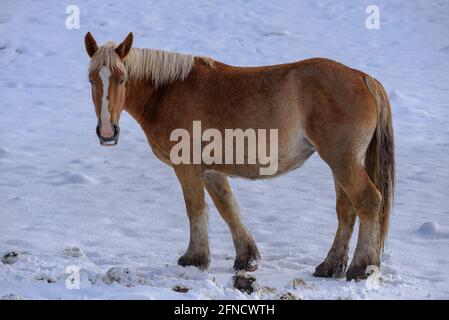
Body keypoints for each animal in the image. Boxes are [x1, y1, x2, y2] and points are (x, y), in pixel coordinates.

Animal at [84, 32, 392, 280]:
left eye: (122, 79)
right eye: (91, 80)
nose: (107, 132)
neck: (167, 92)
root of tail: (362, 77)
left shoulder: (187, 168)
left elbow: (196, 209)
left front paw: (194, 259)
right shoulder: (211, 170)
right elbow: (228, 208)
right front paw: (247, 258)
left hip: (342, 161)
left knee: (368, 201)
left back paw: (360, 267)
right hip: (340, 163)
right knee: (347, 210)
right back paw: (331, 266)